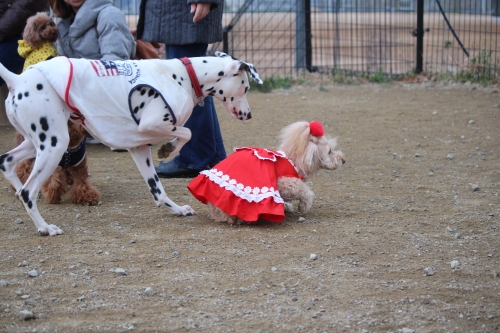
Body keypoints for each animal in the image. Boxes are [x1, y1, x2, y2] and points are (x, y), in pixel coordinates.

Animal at [0, 50, 264, 235]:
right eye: (246, 87)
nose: (250, 115)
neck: (184, 75)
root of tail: (17, 80)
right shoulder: (151, 124)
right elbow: (187, 133)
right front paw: (168, 148)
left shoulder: (139, 147)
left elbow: (158, 190)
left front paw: (177, 209)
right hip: (55, 144)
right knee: (28, 191)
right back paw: (45, 227)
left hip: (36, 144)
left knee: (7, 163)